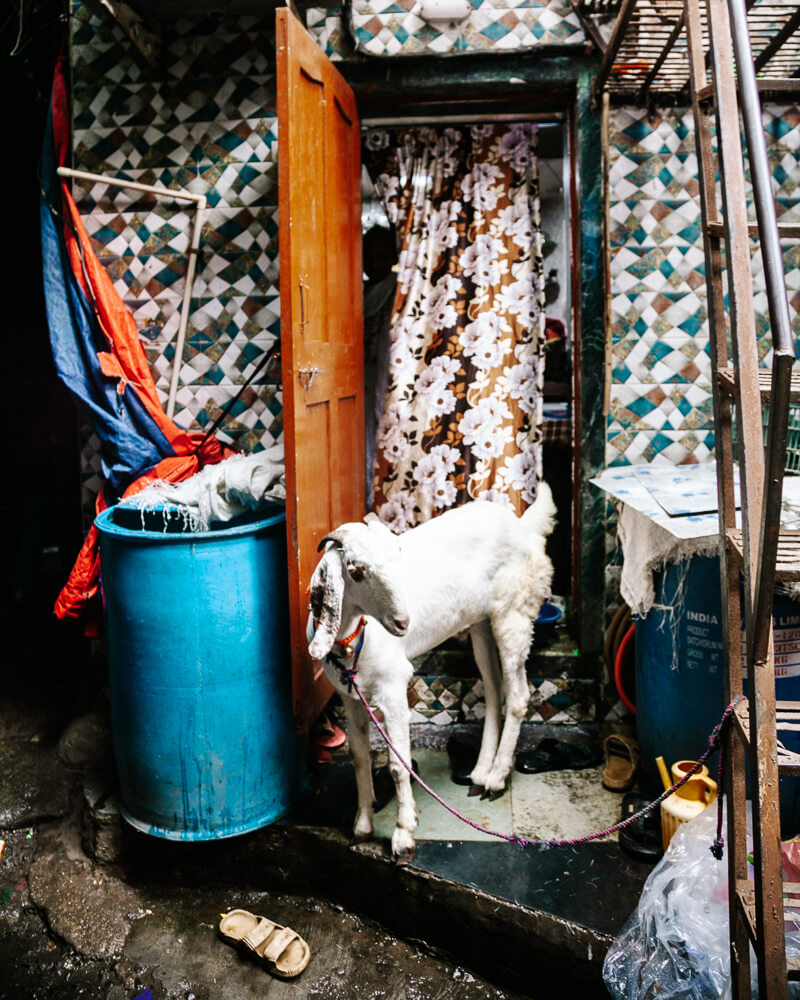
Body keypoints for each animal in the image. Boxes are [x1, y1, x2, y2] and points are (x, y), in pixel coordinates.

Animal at [306, 488, 556, 864]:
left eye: (398, 554)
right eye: (356, 571)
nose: (403, 622)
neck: (353, 639)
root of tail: (524, 526)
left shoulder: (394, 687)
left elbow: (398, 765)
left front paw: (403, 834)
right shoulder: (350, 695)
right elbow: (359, 754)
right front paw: (362, 824)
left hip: (514, 613)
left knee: (518, 695)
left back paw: (497, 777)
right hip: (480, 623)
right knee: (494, 688)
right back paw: (480, 773)